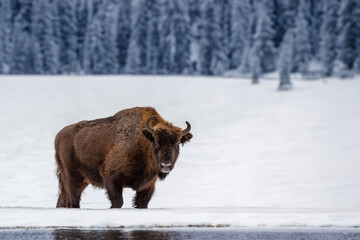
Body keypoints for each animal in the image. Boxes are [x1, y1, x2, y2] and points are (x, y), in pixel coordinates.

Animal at [54, 107, 193, 208]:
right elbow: (118, 202)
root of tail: (59, 135)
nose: (166, 165)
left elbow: (142, 203)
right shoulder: (111, 176)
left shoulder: (148, 185)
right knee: (73, 200)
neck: (143, 142)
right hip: (72, 177)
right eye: (156, 142)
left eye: (177, 144)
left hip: (81, 180)